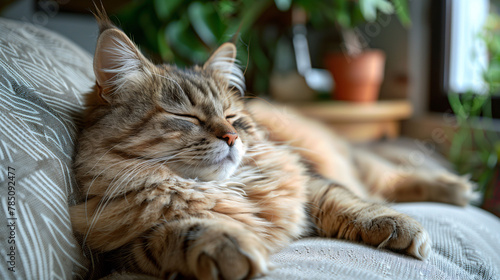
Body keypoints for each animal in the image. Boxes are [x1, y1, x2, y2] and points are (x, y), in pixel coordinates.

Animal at [69, 9, 472, 278]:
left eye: (232, 117)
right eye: (187, 117)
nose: (231, 137)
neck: (223, 188)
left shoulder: (309, 182)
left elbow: (348, 202)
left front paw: (396, 224)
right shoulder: (118, 251)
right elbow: (179, 232)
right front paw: (227, 246)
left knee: (388, 177)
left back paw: (456, 189)